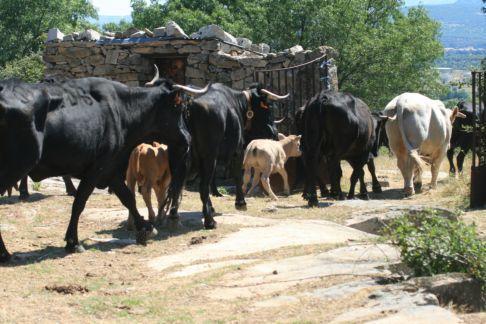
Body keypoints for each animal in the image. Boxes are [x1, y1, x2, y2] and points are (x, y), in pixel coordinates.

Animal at [0, 77, 205, 262]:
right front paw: (73, 242)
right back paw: (5, 253)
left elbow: (128, 198)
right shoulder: (97, 169)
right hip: (13, 168)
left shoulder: (111, 170)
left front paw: (145, 228)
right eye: (179, 107)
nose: (188, 138)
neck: (123, 110)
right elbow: (79, 203)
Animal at [184, 83, 286, 228]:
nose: (274, 132)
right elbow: (239, 176)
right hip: (208, 156)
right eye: (267, 107)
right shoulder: (237, 151)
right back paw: (210, 221)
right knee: (203, 186)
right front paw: (241, 203)